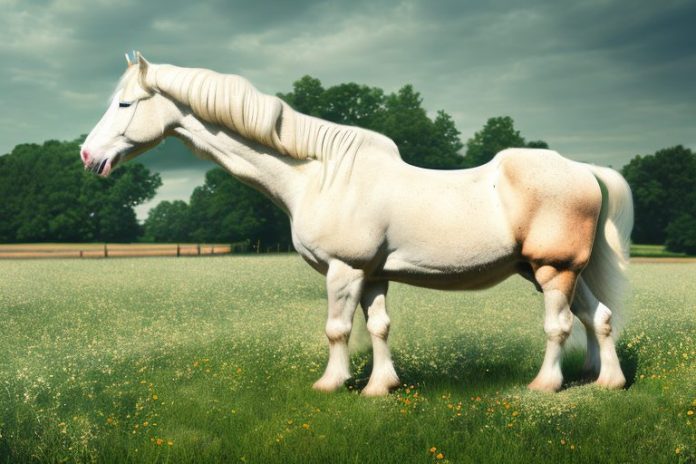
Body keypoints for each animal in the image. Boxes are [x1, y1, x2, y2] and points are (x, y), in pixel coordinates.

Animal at [81, 52, 633, 396]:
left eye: (126, 103)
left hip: (552, 271)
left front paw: (332, 383)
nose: (89, 155)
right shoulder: (373, 275)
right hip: (557, 272)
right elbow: (380, 327)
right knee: (599, 317)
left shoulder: (344, 270)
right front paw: (379, 387)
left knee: (561, 325)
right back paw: (607, 381)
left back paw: (545, 385)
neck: (320, 174)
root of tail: (583, 169)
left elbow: (338, 329)